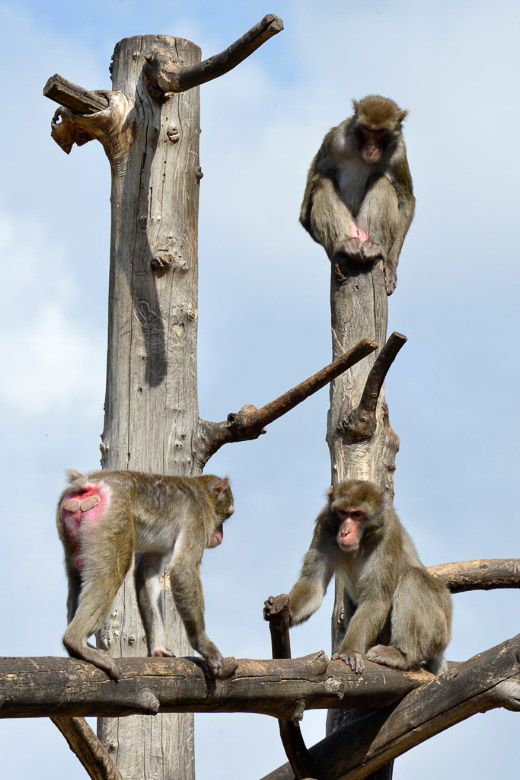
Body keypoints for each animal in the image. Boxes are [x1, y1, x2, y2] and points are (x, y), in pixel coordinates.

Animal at [56, 469, 236, 680]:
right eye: (227, 516)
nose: (220, 536)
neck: (201, 495)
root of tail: (88, 484)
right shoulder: (197, 518)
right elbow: (182, 569)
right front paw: (205, 647)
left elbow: (147, 571)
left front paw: (159, 649)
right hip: (114, 516)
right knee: (112, 570)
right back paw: (76, 642)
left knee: (76, 572)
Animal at [265, 480, 451, 675]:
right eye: (343, 512)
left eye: (357, 514)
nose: (345, 532)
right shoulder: (325, 526)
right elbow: (312, 582)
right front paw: (285, 611)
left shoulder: (387, 534)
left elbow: (375, 599)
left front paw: (349, 651)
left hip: (439, 628)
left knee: (413, 578)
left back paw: (401, 655)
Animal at [300, 95, 415, 295]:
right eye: (367, 130)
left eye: (381, 133)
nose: (370, 148)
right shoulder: (335, 139)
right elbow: (307, 205)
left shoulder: (399, 153)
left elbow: (407, 200)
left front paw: (391, 265)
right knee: (322, 181)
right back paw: (344, 243)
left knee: (381, 179)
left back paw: (373, 246)